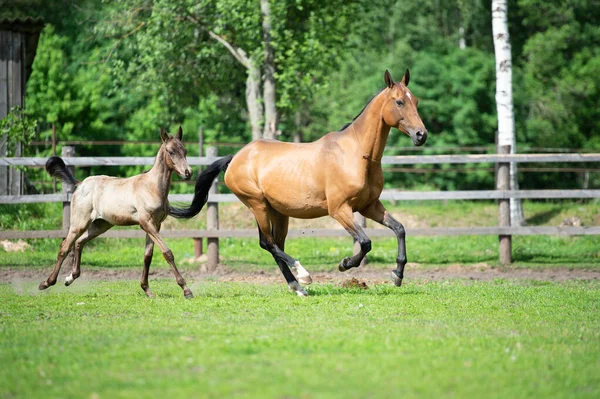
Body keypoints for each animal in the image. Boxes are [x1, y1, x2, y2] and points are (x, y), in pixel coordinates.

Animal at [39, 126, 195, 298]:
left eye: (185, 150)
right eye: (171, 151)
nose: (188, 172)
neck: (152, 187)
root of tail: (80, 184)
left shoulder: (155, 225)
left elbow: (147, 256)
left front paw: (147, 290)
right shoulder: (146, 223)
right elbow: (167, 252)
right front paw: (186, 289)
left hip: (100, 225)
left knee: (79, 242)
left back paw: (70, 278)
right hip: (79, 223)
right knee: (64, 247)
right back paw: (46, 282)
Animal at [171, 69, 428, 296]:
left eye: (414, 100)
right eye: (399, 102)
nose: (421, 135)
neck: (355, 155)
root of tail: (236, 157)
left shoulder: (369, 206)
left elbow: (399, 229)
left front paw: (397, 275)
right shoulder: (339, 209)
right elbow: (365, 242)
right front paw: (345, 264)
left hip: (278, 212)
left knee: (275, 245)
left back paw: (297, 287)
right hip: (258, 205)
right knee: (267, 243)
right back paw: (303, 276)